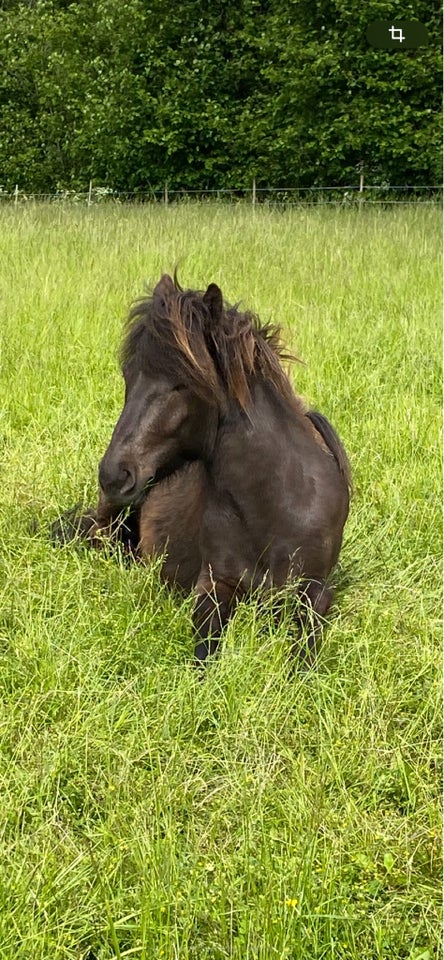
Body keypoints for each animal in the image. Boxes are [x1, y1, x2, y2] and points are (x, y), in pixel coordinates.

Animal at [53, 274, 350, 664]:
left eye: (183, 382)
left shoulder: (315, 593)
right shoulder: (214, 586)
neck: (274, 510)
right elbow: (205, 652)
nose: (114, 475)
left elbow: (304, 654)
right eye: (128, 375)